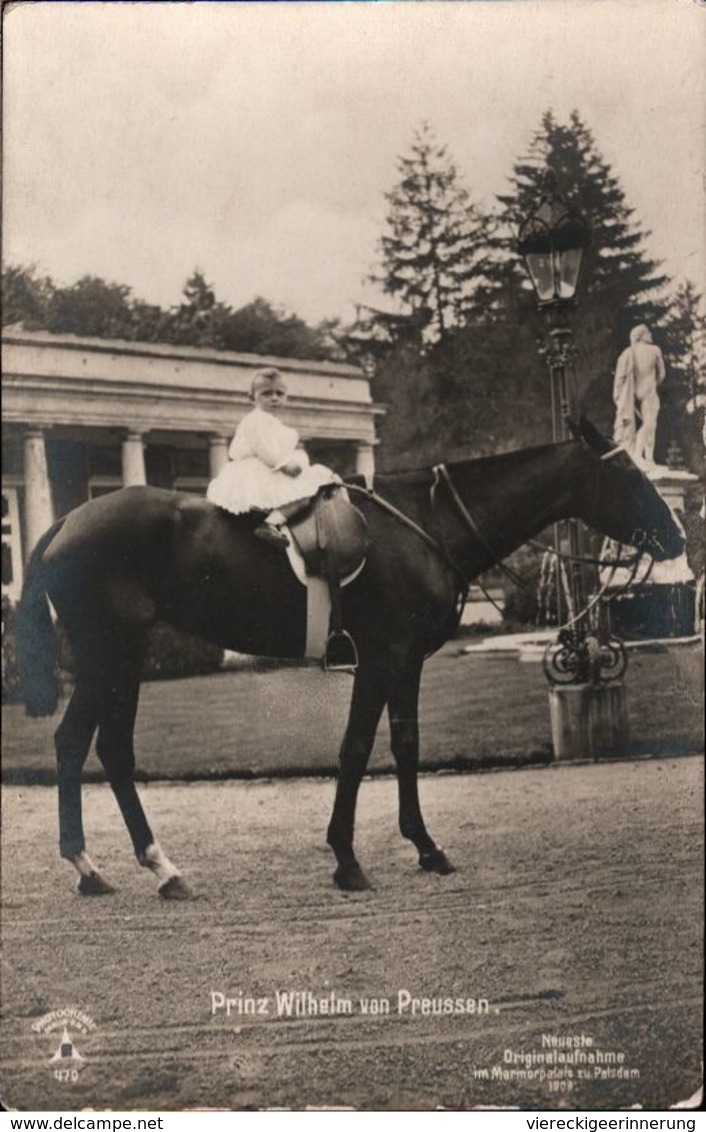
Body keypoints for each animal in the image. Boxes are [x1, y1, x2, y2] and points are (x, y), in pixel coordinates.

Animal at [13, 421, 683, 896]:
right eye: (629, 477)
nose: (677, 535)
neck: (425, 523)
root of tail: (66, 520)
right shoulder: (383, 658)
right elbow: (357, 748)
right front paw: (347, 858)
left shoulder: (408, 663)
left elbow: (406, 744)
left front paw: (425, 847)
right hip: (111, 655)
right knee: (89, 746)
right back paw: (121, 864)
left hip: (121, 660)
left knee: (97, 748)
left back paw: (125, 868)